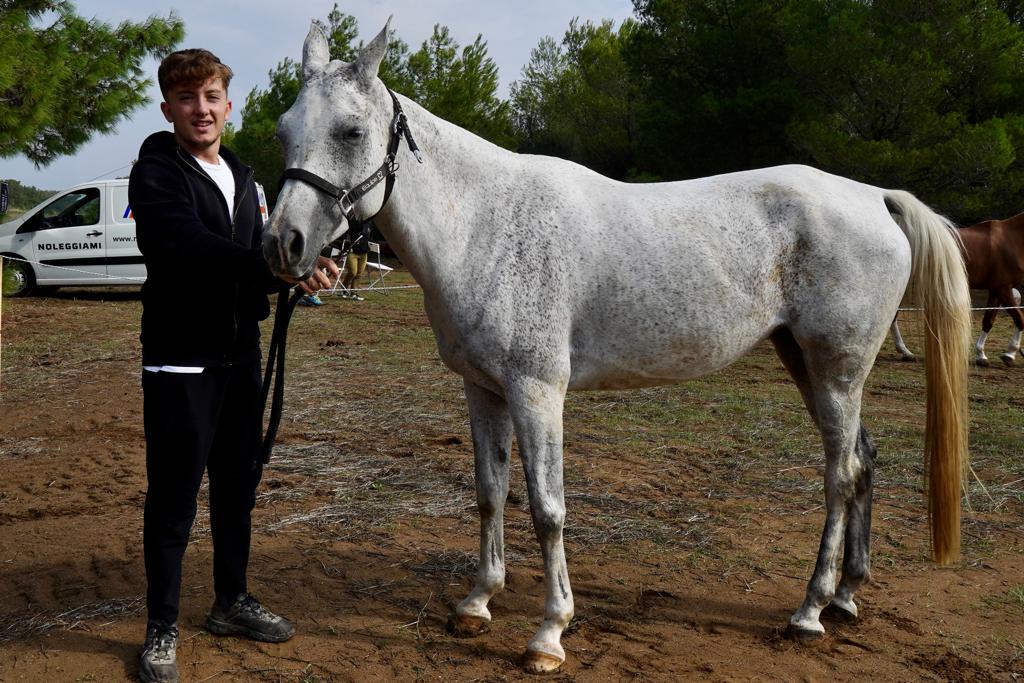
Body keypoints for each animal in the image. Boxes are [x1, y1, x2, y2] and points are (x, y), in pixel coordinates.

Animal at [263, 21, 972, 673]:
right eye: (284, 130)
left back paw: (810, 609)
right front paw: (477, 603)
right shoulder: (484, 389)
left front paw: (549, 634)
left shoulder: (537, 391)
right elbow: (490, 492)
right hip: (808, 362)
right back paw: (847, 595)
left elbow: (547, 509)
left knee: (841, 475)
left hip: (836, 370)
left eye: (351, 132)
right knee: (863, 460)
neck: (486, 224)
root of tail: (873, 197)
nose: (284, 244)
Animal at [889, 213, 1024, 365]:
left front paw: (981, 355)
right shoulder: (1003, 289)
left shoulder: (996, 290)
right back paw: (905, 351)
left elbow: (988, 321)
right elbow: (1020, 318)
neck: (1011, 239)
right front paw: (1010, 354)